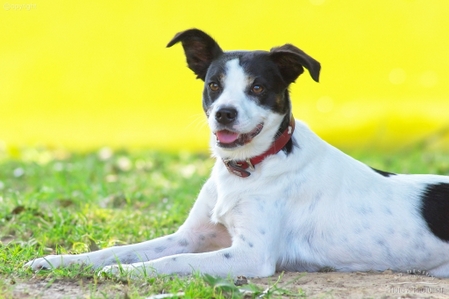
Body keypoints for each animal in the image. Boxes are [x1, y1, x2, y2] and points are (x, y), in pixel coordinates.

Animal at [26, 29, 448, 280]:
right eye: (213, 85)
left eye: (258, 87)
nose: (224, 113)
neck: (248, 170)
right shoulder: (189, 236)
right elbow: (117, 250)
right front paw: (56, 261)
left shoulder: (250, 254)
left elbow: (167, 262)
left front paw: (129, 273)